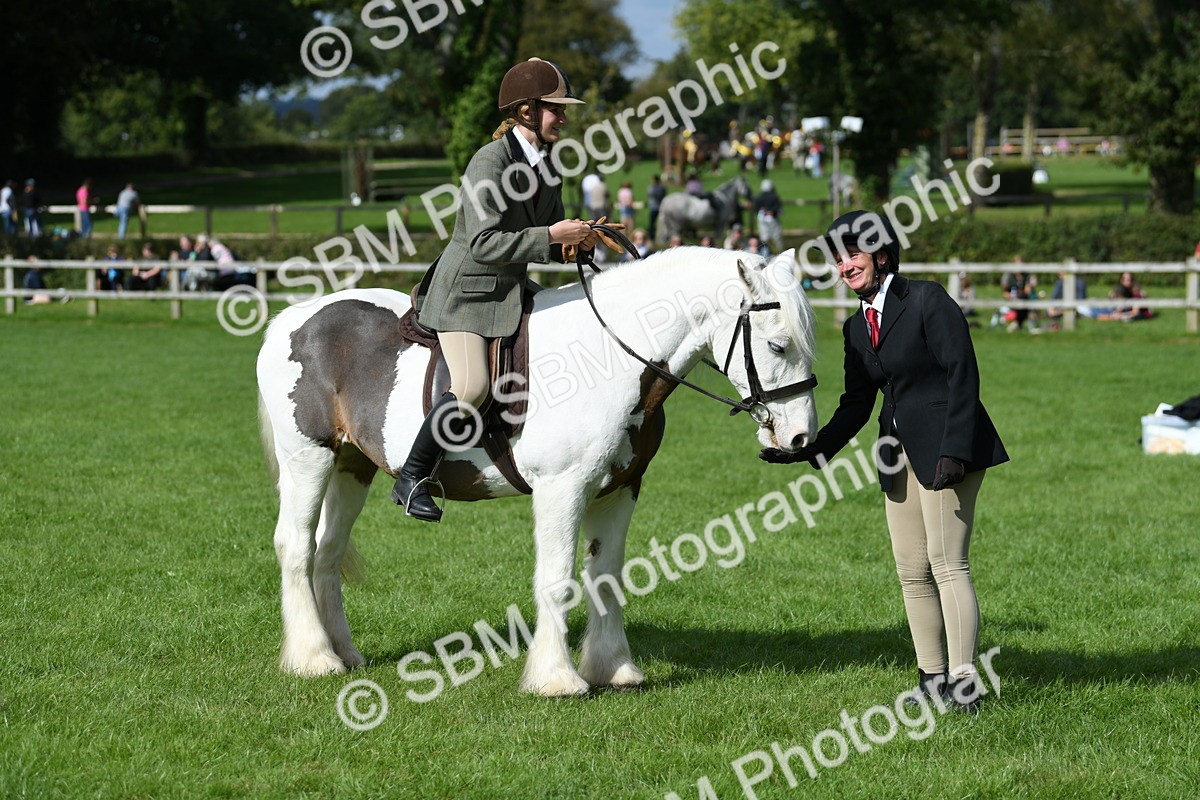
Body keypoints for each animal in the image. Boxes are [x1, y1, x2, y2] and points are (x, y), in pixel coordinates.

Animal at [256, 246, 818, 696]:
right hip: (309, 457)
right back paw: (313, 659)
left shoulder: (619, 490)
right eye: (777, 345)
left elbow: (605, 577)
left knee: (327, 550)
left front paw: (613, 670)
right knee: (296, 546)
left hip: (351, 465)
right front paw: (556, 679)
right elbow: (557, 580)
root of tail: (292, 319)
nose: (799, 439)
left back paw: (343, 652)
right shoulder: (561, 488)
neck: (608, 357)